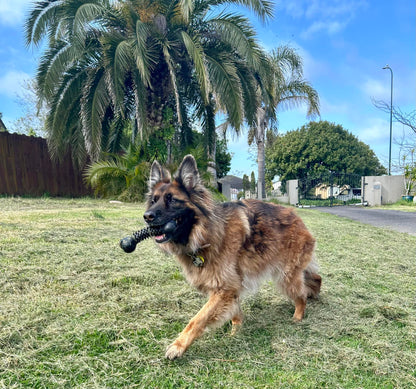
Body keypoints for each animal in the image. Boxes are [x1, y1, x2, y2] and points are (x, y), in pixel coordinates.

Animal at [143, 154, 322, 358]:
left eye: (172, 200)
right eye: (154, 200)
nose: (147, 217)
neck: (206, 234)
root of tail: (298, 218)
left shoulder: (224, 287)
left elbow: (198, 319)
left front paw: (178, 345)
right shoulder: (229, 288)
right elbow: (234, 311)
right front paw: (236, 331)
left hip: (286, 276)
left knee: (301, 294)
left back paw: (298, 316)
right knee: (315, 279)